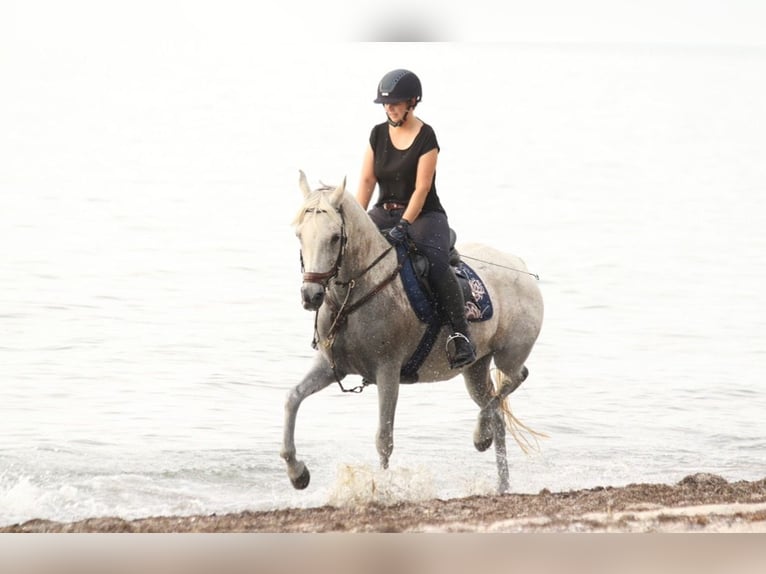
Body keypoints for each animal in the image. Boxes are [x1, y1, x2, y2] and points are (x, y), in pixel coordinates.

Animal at [281, 171, 544, 493]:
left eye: (335, 237)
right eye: (299, 235)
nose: (311, 295)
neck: (361, 290)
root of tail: (519, 265)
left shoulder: (388, 371)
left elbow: (384, 438)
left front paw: (381, 489)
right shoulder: (332, 367)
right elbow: (293, 398)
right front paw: (297, 473)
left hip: (509, 355)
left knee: (515, 378)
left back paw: (480, 437)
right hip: (475, 369)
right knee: (496, 412)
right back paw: (500, 479)